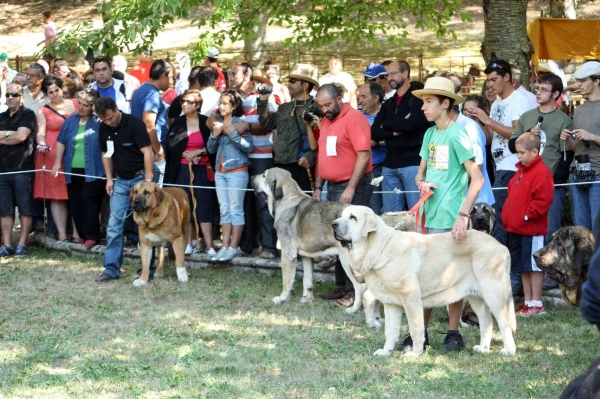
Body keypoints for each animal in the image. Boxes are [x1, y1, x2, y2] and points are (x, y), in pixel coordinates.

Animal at [330, 205, 516, 358]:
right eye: (342, 216)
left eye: (353, 217)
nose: (333, 224)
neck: (378, 247)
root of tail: (501, 246)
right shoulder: (391, 304)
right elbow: (390, 331)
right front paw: (386, 351)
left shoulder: (411, 298)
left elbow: (416, 329)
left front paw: (416, 353)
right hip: (476, 297)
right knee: (487, 322)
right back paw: (483, 348)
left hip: (493, 294)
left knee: (504, 323)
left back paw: (509, 350)